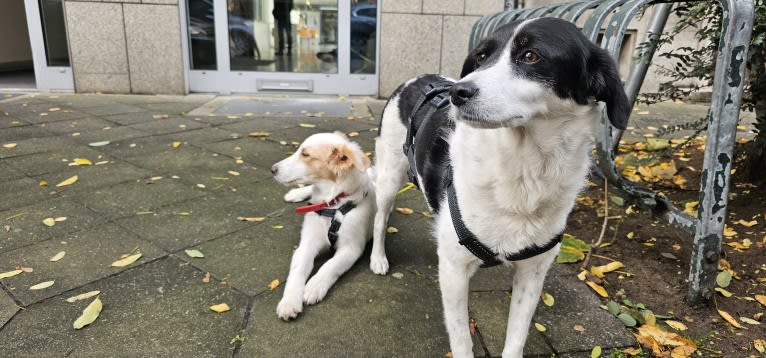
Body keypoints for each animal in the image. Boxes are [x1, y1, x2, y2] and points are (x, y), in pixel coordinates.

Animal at [272, 132, 376, 322]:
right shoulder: (306, 245)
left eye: (305, 154)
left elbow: (330, 266)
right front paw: (289, 301)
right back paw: (295, 194)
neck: (333, 205)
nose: (272, 169)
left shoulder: (352, 248)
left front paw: (314, 286)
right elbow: (296, 272)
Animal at [370, 17, 632, 358]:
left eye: (531, 55)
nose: (457, 92)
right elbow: (461, 340)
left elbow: (516, 336)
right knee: (380, 218)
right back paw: (378, 259)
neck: (523, 169)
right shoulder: (454, 272)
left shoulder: (533, 272)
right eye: (481, 57)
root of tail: (419, 80)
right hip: (390, 176)